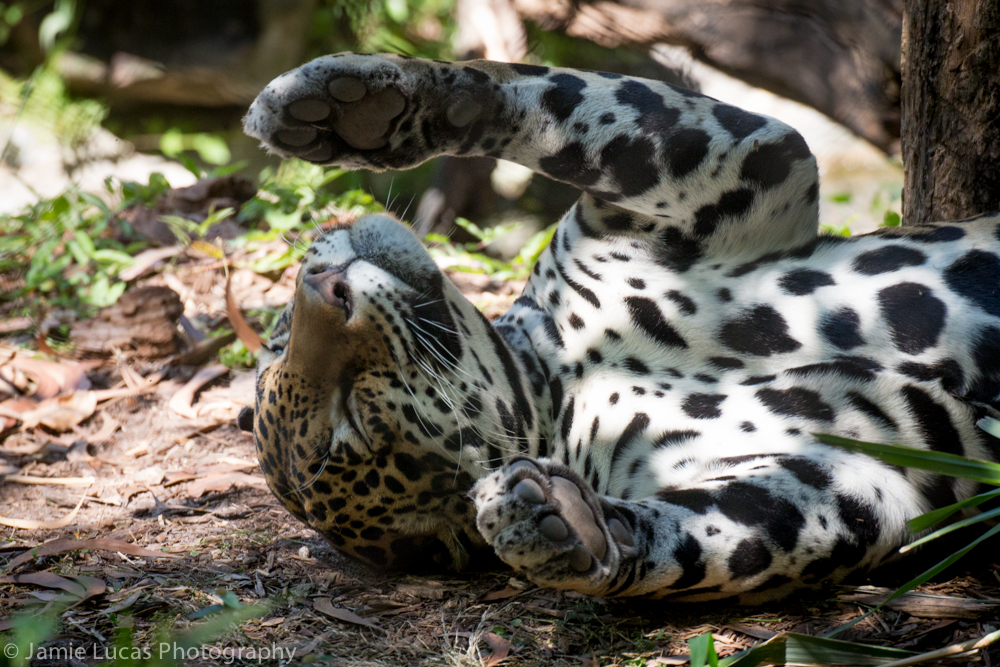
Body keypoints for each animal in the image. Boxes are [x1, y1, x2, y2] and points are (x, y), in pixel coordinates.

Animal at [239, 52, 1000, 603]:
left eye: (275, 342)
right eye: (355, 422)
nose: (323, 285)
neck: (566, 378)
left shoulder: (735, 167)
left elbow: (557, 97)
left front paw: (355, 103)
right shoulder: (858, 468)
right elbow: (719, 535)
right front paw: (565, 528)